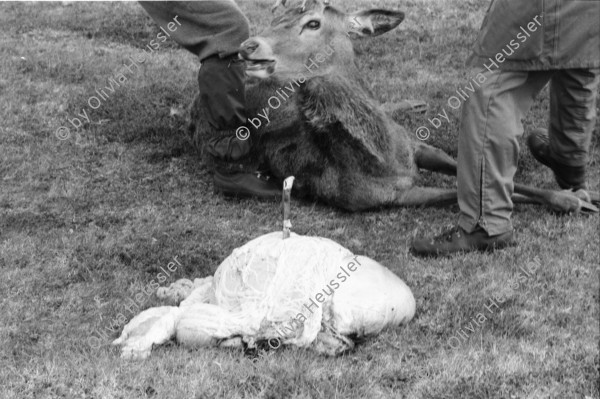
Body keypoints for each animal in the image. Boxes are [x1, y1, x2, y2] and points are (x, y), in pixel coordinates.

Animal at [191, 0, 596, 214]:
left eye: (313, 23)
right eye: (276, 18)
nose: (248, 46)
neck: (383, 160)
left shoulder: (417, 145)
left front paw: (578, 194)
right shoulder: (383, 199)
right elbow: (468, 193)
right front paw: (573, 200)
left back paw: (413, 103)